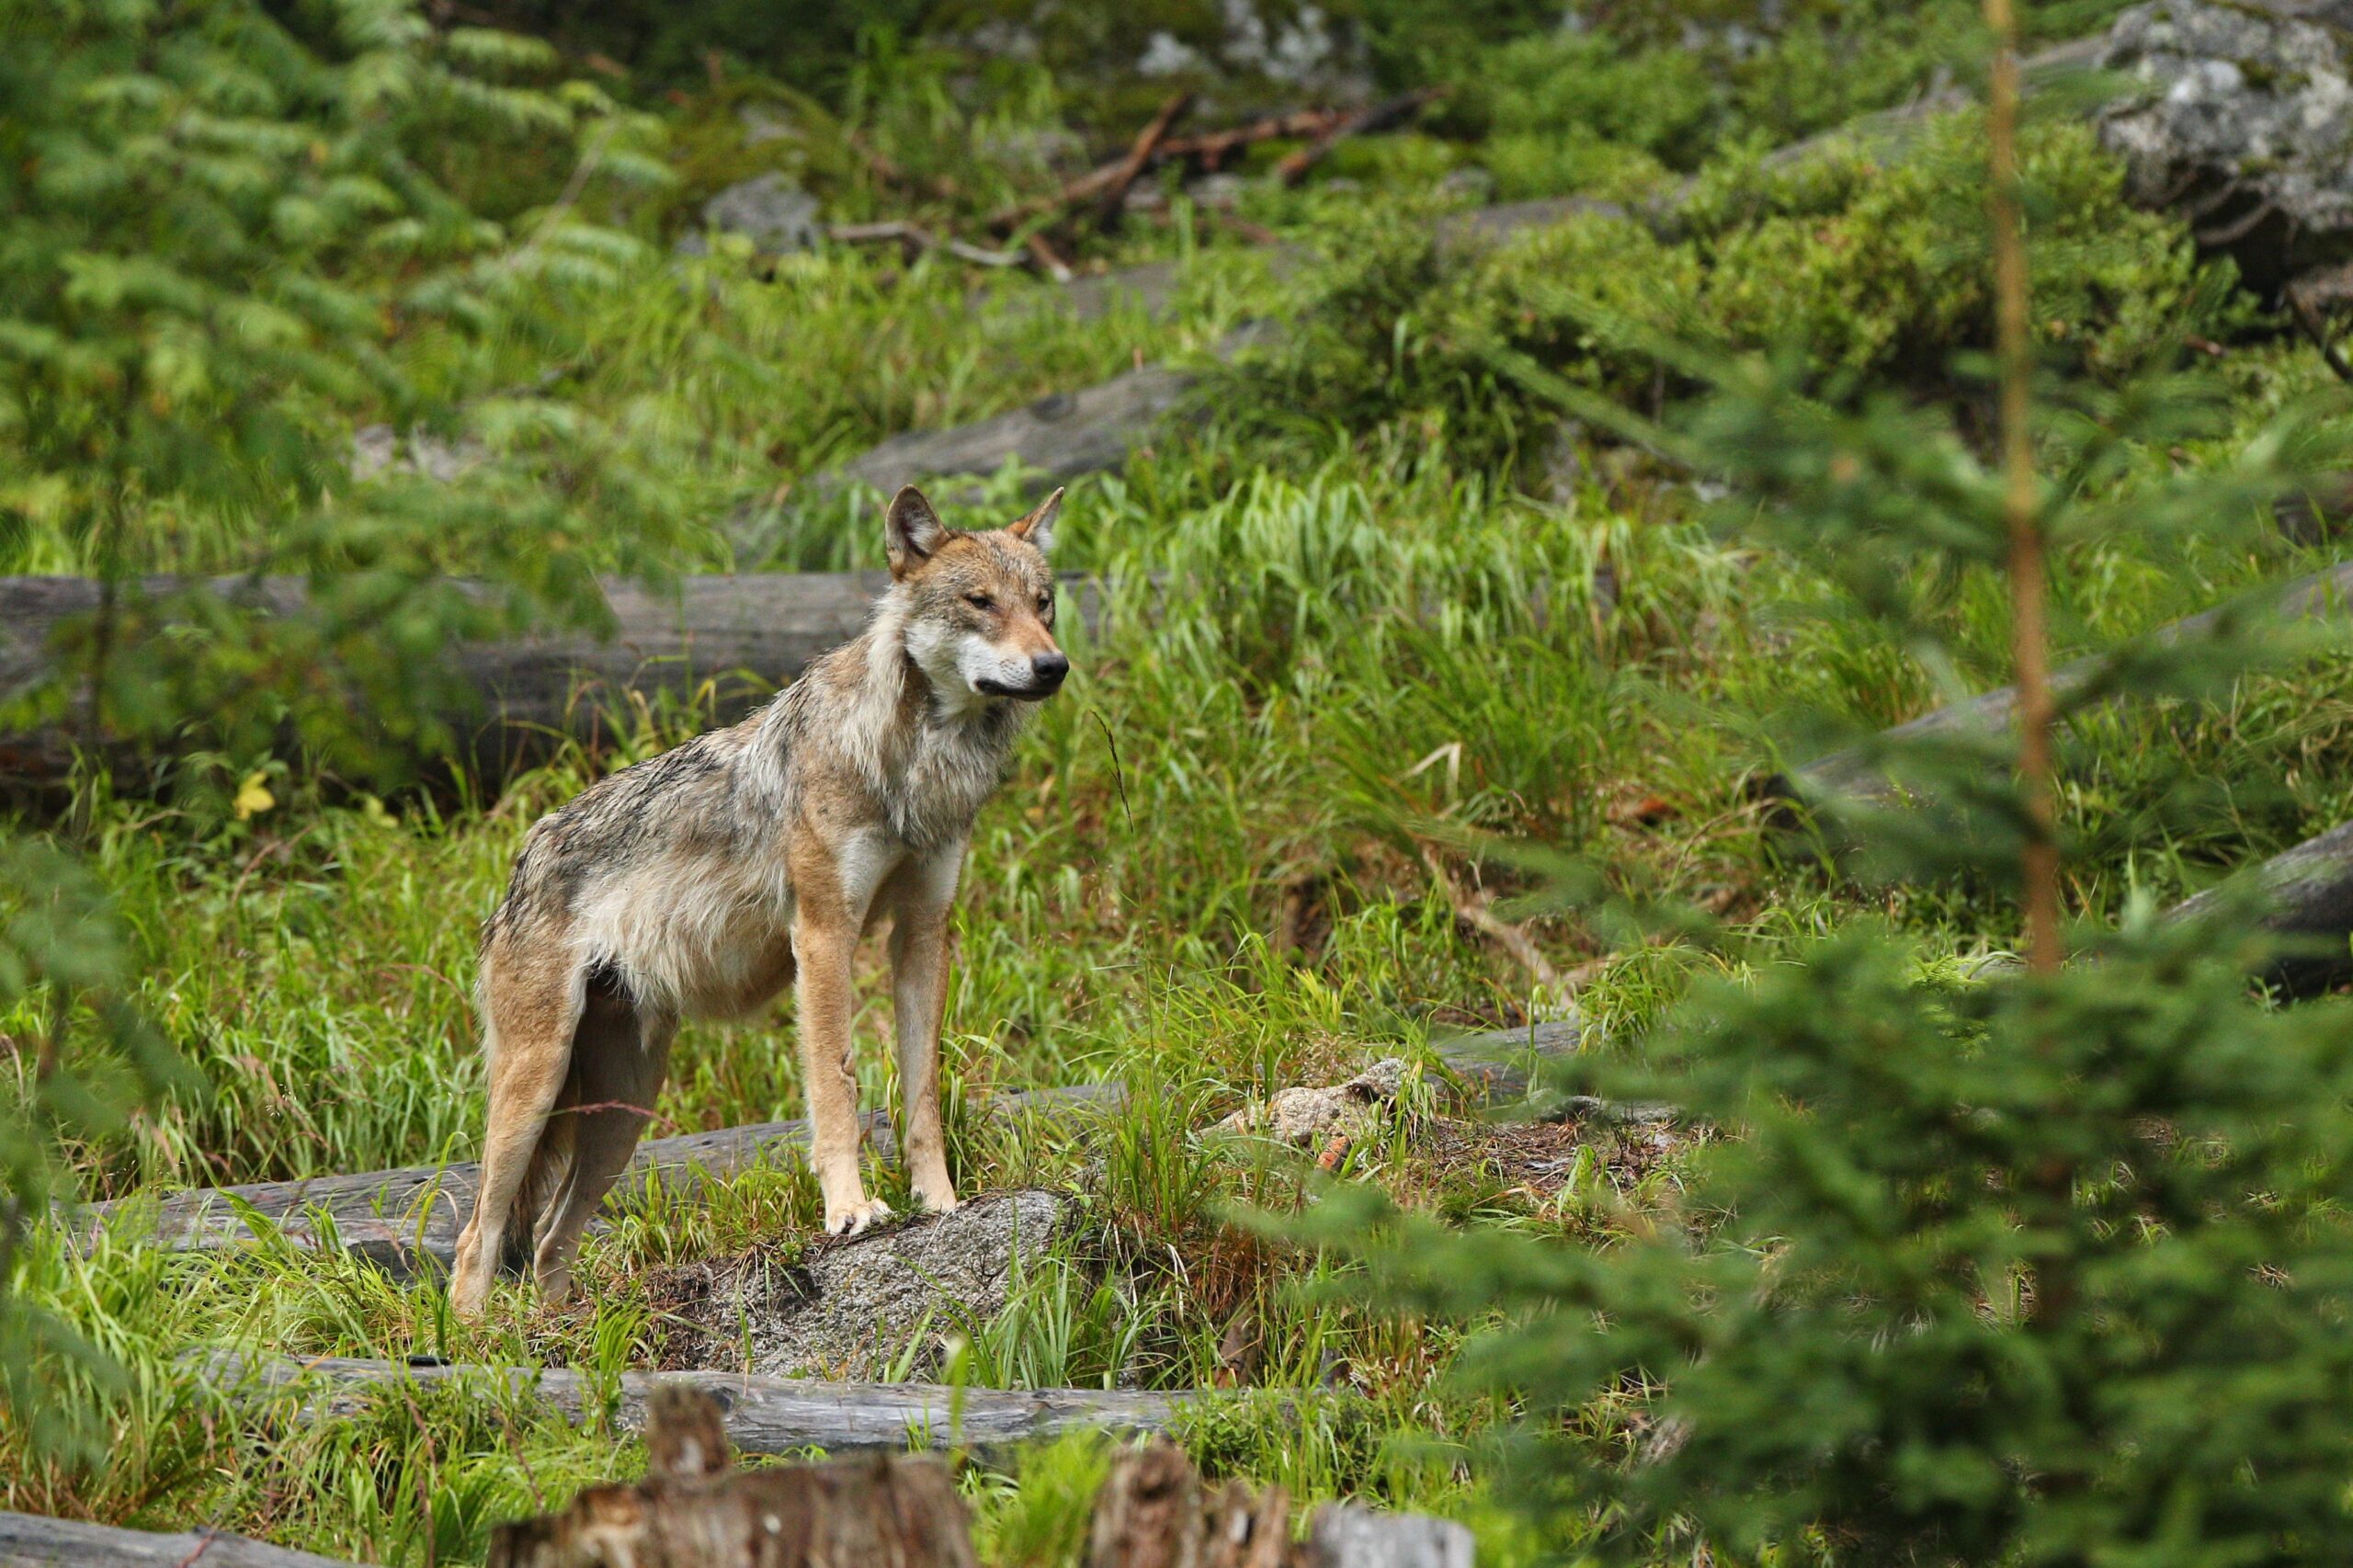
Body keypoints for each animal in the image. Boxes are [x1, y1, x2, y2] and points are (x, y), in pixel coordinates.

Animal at [448, 484, 1069, 1319]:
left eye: (1043, 602)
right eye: (980, 602)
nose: (1052, 666)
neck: (913, 760)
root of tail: (523, 858)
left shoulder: (921, 933)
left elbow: (922, 1094)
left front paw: (939, 1203)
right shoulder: (825, 934)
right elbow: (836, 1082)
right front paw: (851, 1211)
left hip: (623, 1111)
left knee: (547, 1236)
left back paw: (560, 1327)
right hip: (537, 1087)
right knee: (475, 1237)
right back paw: (474, 1339)